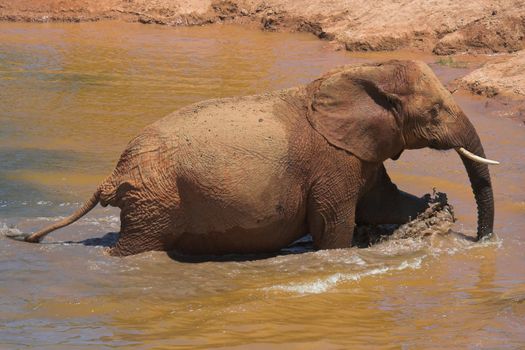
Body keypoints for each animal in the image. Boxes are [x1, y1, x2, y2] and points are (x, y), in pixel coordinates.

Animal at [10, 60, 498, 256]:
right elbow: (334, 227)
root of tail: (113, 174)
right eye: (435, 112)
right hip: (156, 200)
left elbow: (381, 202)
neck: (362, 72)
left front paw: (434, 208)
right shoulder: (332, 161)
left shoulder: (357, 151)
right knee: (136, 249)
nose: (482, 242)